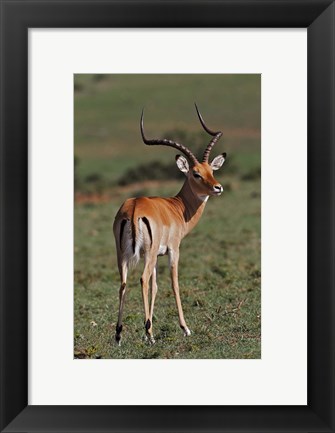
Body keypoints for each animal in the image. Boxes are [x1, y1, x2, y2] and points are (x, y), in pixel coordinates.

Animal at [114, 104, 227, 344]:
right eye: (196, 174)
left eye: (211, 171)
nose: (218, 187)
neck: (177, 208)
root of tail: (135, 208)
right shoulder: (174, 250)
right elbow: (174, 284)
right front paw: (184, 328)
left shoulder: (156, 255)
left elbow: (156, 287)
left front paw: (149, 327)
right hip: (146, 254)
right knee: (142, 280)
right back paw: (149, 334)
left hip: (123, 255)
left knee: (124, 283)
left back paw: (118, 335)